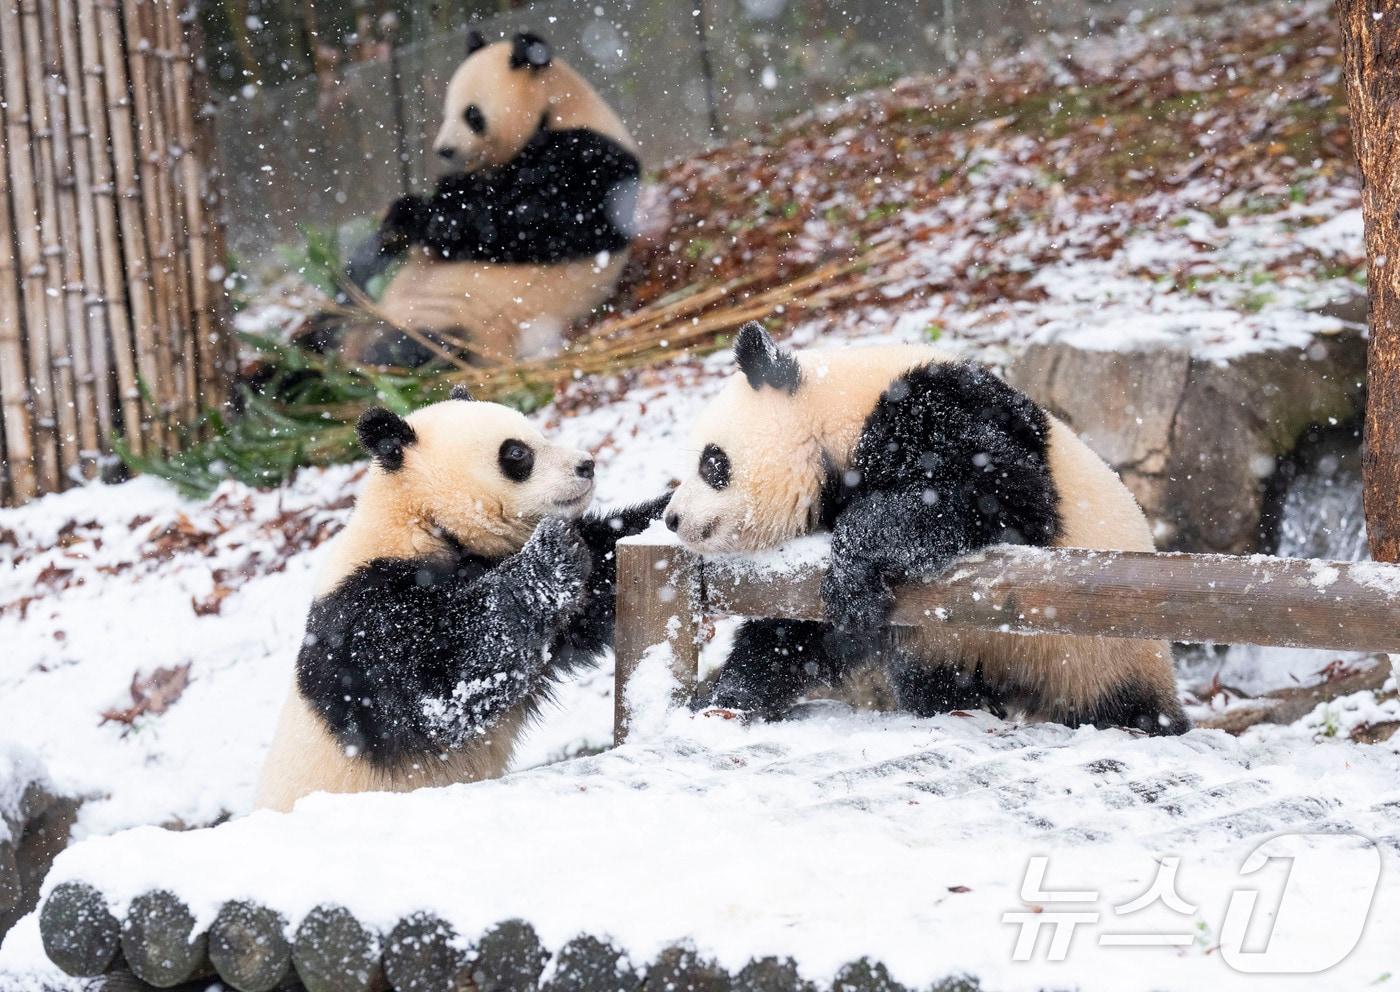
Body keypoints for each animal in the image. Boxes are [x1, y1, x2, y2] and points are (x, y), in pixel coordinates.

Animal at [259, 386, 672, 811]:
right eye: (517, 453)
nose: (586, 465)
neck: (421, 521)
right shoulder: (363, 620)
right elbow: (441, 688)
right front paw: (550, 553)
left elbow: (601, 577)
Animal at [336, 29, 641, 366]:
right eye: (446, 113)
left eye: (472, 114)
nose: (444, 150)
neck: (557, 109)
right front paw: (403, 217)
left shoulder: (594, 160)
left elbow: (538, 222)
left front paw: (423, 216)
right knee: (358, 281)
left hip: (471, 326)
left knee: (420, 347)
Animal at [660, 324, 1187, 733]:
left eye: (712, 463)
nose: (671, 518)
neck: (837, 414)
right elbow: (802, 632)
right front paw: (726, 699)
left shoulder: (935, 408)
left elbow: (1000, 494)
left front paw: (852, 571)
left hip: (1102, 649)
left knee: (1126, 705)